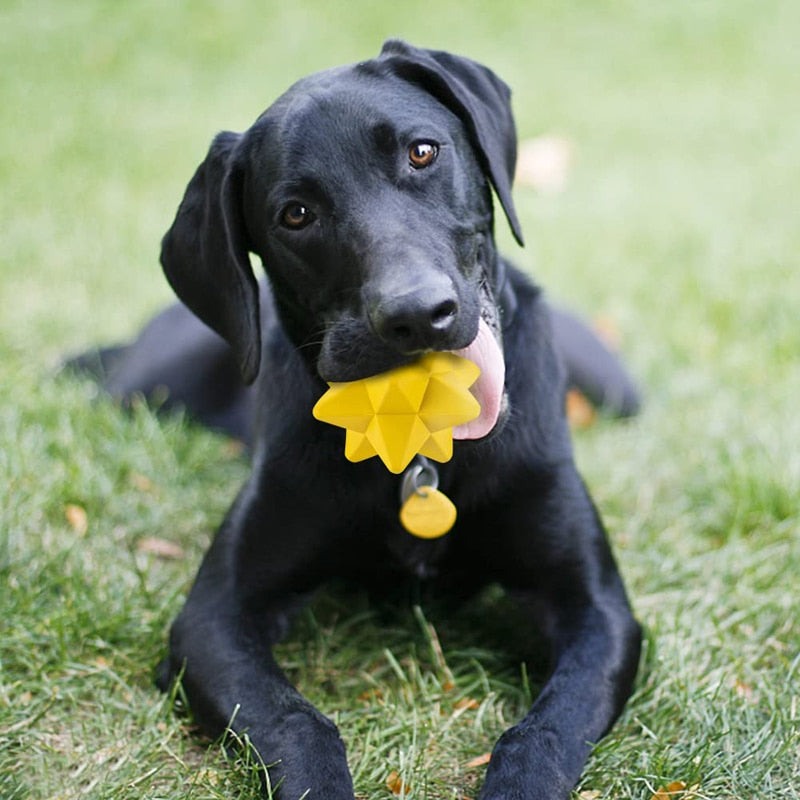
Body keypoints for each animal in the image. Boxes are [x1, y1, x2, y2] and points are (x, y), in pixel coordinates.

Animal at [86, 42, 644, 800]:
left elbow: (547, 729)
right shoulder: (213, 618)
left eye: (422, 152)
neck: (420, 445)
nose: (417, 315)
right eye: (295, 214)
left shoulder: (596, 609)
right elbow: (295, 722)